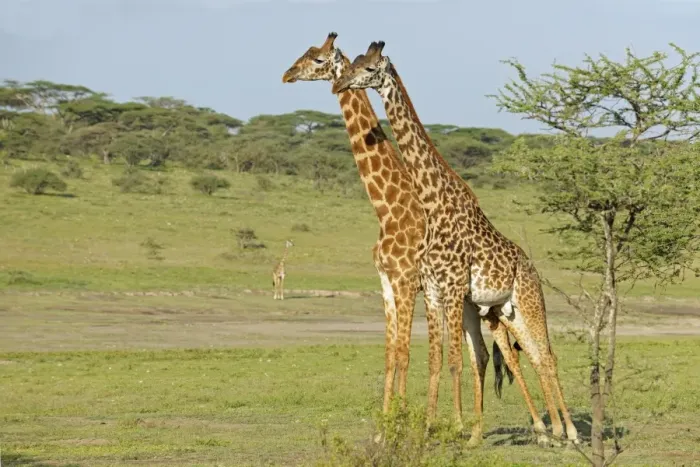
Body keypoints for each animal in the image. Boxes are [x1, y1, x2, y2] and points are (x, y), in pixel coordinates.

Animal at [332, 41, 579, 447]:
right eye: (351, 63)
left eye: (368, 68)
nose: (339, 84)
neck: (433, 204)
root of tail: (531, 267)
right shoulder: (433, 292)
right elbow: (436, 360)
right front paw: (429, 430)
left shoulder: (449, 290)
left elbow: (454, 360)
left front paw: (441, 429)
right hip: (506, 311)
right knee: (531, 356)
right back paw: (553, 430)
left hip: (528, 303)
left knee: (546, 355)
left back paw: (569, 432)